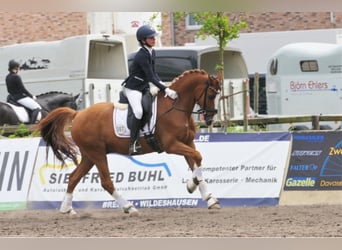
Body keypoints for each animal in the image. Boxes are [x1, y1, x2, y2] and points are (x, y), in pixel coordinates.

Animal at [34, 69, 222, 216]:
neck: (175, 106)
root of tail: (78, 114)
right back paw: (129, 207)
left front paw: (208, 197)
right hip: (97, 153)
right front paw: (192, 186)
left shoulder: (188, 142)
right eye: (211, 94)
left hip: (89, 156)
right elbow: (198, 157)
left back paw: (66, 208)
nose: (210, 119)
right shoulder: (171, 145)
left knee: (73, 178)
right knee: (106, 182)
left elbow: (196, 161)